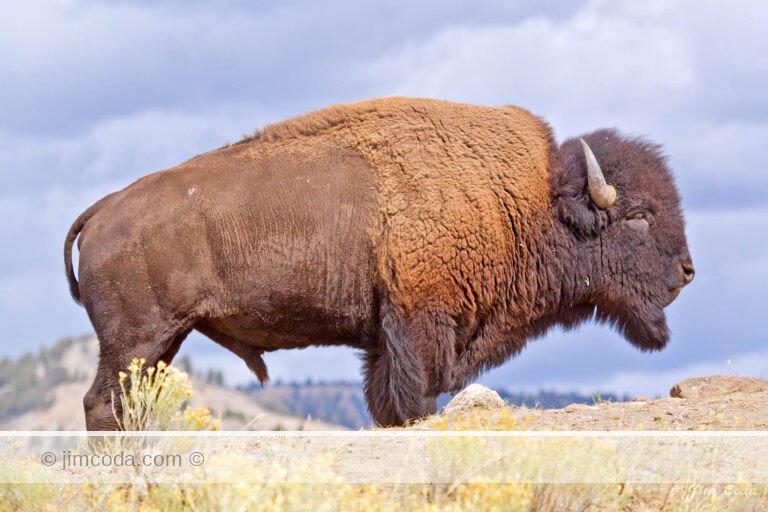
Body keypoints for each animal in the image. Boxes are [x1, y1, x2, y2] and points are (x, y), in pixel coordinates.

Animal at [64, 97, 694, 430]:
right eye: (640, 216)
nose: (687, 272)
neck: (526, 202)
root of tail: (101, 209)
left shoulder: (383, 339)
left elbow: (388, 401)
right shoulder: (421, 324)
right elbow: (418, 398)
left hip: (161, 342)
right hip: (137, 338)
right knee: (102, 402)